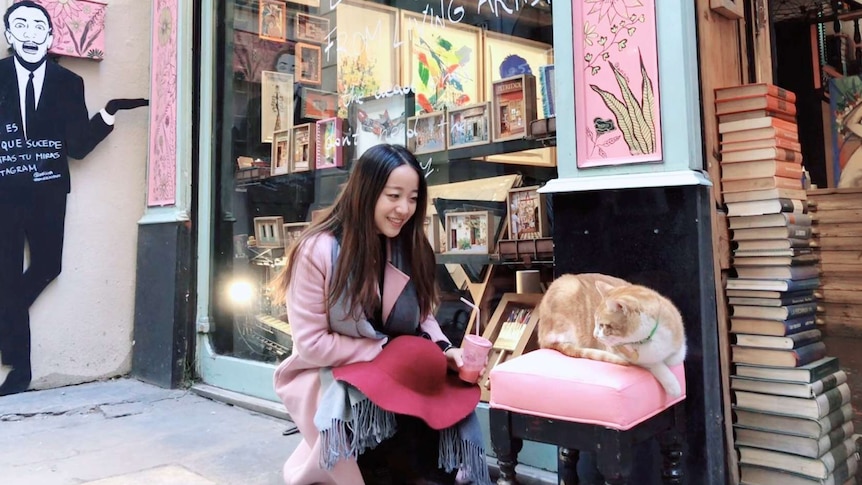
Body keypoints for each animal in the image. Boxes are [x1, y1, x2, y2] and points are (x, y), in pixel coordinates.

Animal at [540, 274, 688, 396]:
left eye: (603, 325)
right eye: (595, 322)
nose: (594, 335)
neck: (650, 337)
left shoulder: (679, 344)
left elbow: (675, 358)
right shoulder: (624, 354)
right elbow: (655, 364)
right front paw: (672, 385)